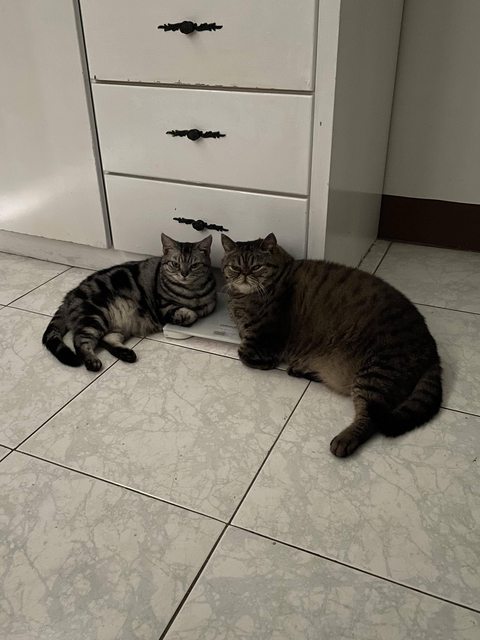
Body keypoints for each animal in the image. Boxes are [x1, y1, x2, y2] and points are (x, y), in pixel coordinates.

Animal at [43, 234, 216, 371]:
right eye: (175, 264)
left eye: (194, 265)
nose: (184, 274)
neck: (192, 291)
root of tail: (70, 295)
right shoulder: (164, 309)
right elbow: (191, 314)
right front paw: (184, 318)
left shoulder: (210, 304)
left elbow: (205, 308)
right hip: (95, 315)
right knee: (80, 341)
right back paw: (92, 362)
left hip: (115, 325)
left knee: (106, 340)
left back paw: (126, 354)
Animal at [221, 233, 442, 457]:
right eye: (235, 267)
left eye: (256, 267)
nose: (244, 275)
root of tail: (431, 346)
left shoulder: (263, 340)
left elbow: (243, 354)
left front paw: (266, 364)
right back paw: (302, 370)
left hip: (377, 372)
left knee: (369, 418)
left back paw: (345, 439)